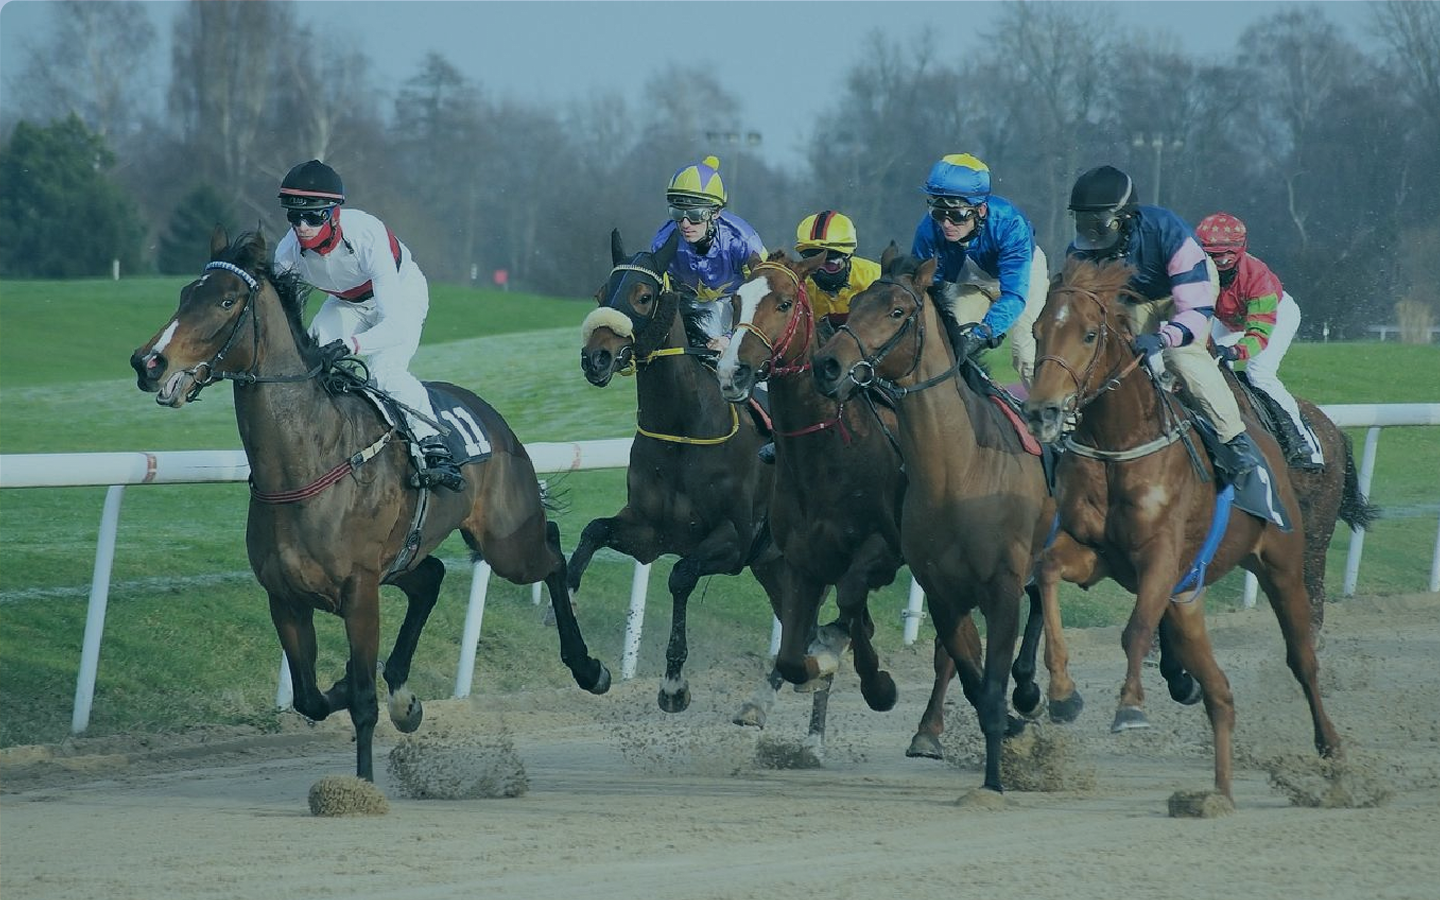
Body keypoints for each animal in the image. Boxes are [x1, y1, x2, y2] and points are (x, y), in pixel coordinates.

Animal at [128, 224, 613, 777]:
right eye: (186, 293)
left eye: (226, 301)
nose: (148, 361)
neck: (308, 461)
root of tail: (494, 418)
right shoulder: (285, 598)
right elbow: (311, 697)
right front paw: (362, 688)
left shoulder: (360, 592)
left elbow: (362, 702)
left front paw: (363, 779)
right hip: (405, 557)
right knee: (432, 577)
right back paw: (403, 690)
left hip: (506, 544)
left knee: (551, 554)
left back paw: (588, 666)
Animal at [570, 230, 789, 717]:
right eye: (599, 293)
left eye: (643, 295)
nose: (596, 359)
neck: (685, 429)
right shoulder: (649, 533)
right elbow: (592, 531)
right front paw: (567, 602)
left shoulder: (735, 541)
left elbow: (681, 576)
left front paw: (673, 684)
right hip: (772, 566)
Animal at [812, 249, 1071, 789]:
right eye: (855, 305)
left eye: (896, 312)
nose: (827, 364)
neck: (959, 472)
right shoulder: (942, 591)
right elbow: (973, 681)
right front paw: (1007, 732)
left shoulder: (1000, 588)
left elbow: (989, 681)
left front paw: (994, 781)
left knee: (1044, 600)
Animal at [1019, 256, 1342, 794]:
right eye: (1038, 330)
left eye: (1089, 334)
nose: (1041, 412)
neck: (1118, 444)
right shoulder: (1093, 553)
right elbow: (1045, 573)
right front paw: (1063, 693)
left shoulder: (1159, 557)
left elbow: (1134, 630)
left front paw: (1130, 707)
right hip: (1188, 592)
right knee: (1216, 682)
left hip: (1284, 565)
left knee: (1302, 657)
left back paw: (1330, 745)